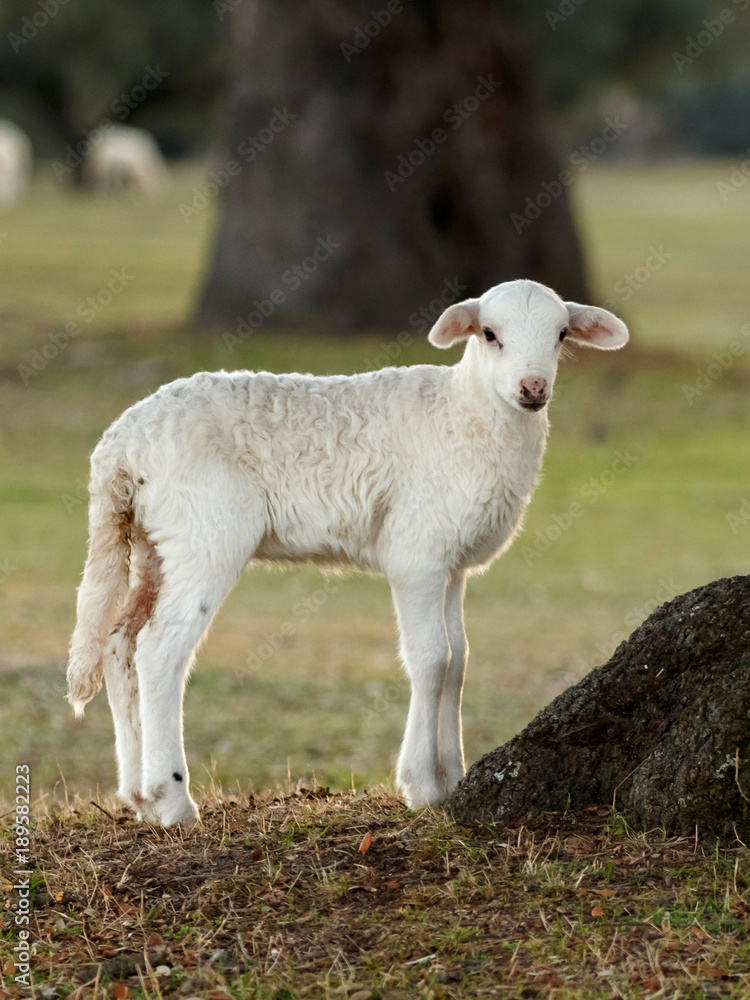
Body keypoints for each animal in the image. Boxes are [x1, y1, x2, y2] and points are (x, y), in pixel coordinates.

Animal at [67, 279, 628, 825]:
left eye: (561, 334)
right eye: (489, 334)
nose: (533, 389)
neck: (464, 414)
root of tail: (118, 448)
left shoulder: (451, 562)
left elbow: (459, 659)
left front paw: (453, 777)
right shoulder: (416, 551)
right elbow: (431, 658)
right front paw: (423, 787)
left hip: (153, 541)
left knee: (120, 642)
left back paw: (139, 796)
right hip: (205, 531)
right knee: (159, 648)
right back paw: (174, 801)